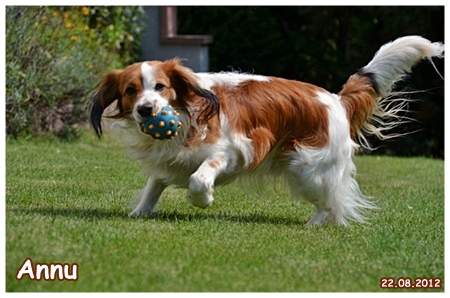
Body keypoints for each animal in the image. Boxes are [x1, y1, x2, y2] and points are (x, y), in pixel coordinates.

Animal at [90, 35, 442, 226]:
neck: (186, 112)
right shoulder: (167, 162)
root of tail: (335, 99)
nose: (146, 110)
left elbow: (198, 177)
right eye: (131, 91)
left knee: (332, 202)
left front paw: (203, 199)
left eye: (160, 87)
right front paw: (140, 213)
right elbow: (154, 185)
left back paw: (315, 223)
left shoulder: (232, 151)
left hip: (306, 168)